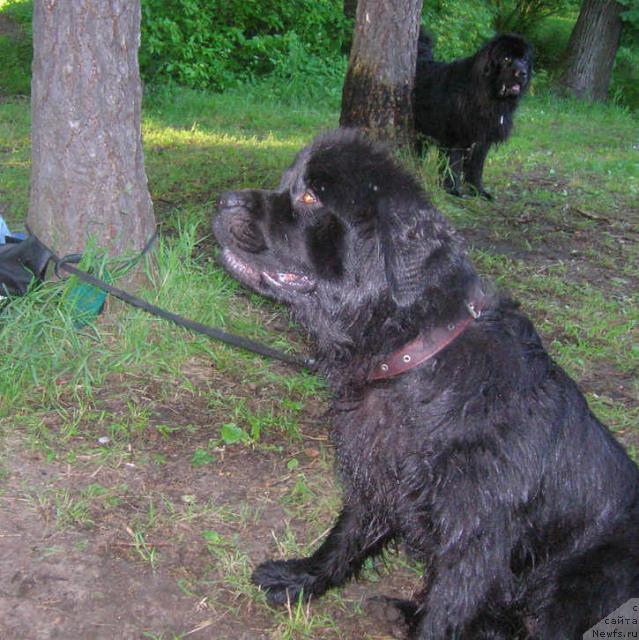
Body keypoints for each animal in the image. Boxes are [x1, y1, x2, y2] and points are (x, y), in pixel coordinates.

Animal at [215, 131, 639, 640]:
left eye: (311, 196)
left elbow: (447, 609)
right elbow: (347, 534)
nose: (222, 200)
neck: (415, 358)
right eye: (286, 183)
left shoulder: (475, 537)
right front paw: (303, 577)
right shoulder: (377, 471)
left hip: (581, 583)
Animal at [416, 31, 536, 198]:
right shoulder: (455, 136)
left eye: (524, 60)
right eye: (506, 59)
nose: (522, 73)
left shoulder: (483, 139)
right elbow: (453, 165)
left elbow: (476, 168)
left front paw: (478, 191)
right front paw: (452, 190)